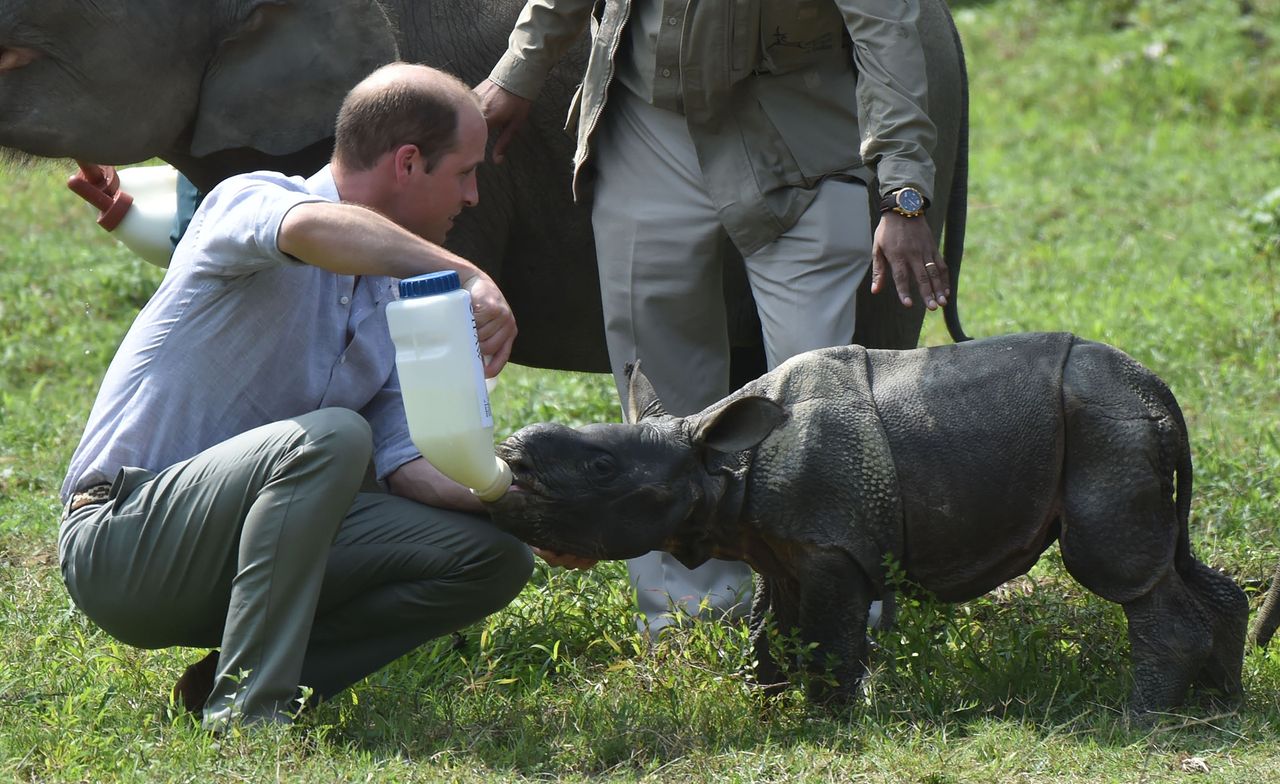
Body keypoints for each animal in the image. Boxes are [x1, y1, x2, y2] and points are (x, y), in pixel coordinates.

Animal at [483, 330, 1244, 712]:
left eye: (601, 468)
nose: (510, 457)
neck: (719, 463)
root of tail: (1160, 392)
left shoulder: (833, 544)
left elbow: (824, 636)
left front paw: (830, 720)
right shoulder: (779, 540)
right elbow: (770, 628)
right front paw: (765, 705)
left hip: (1105, 428)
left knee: (1119, 569)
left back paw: (1143, 716)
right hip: (1119, 425)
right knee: (1172, 560)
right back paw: (1221, 701)